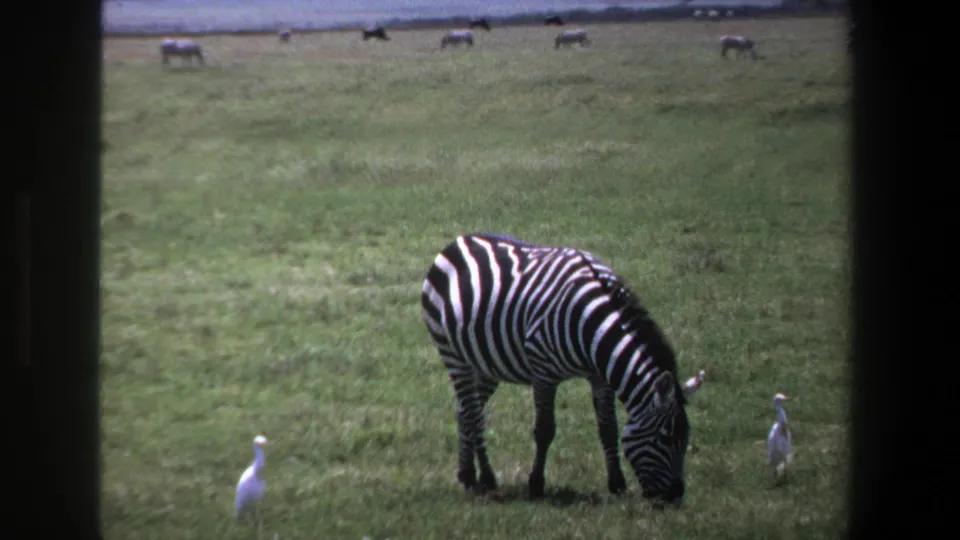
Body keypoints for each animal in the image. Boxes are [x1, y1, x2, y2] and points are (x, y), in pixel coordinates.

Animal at [421, 233, 691, 505]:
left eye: (687, 438)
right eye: (666, 438)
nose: (675, 497)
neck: (591, 326)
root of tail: (459, 240)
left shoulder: (599, 378)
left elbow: (608, 428)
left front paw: (617, 485)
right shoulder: (544, 373)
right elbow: (544, 430)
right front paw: (536, 485)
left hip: (486, 363)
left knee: (464, 409)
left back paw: (467, 475)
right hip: (453, 354)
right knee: (474, 414)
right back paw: (485, 478)